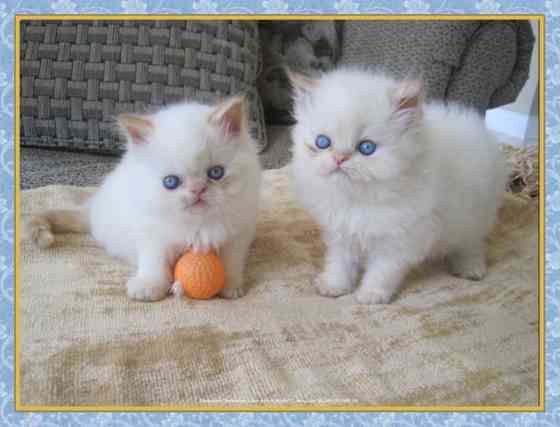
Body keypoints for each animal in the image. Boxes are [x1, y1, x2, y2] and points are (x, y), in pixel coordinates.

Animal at [25, 96, 260, 304]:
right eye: (171, 182)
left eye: (216, 173)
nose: (198, 190)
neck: (198, 225)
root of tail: (92, 208)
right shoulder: (152, 234)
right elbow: (154, 263)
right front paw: (148, 287)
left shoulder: (237, 234)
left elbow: (230, 262)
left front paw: (230, 286)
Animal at [286, 69, 510, 304]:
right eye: (322, 142)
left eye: (367, 147)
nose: (340, 158)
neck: (359, 201)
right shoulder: (341, 234)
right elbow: (340, 263)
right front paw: (334, 286)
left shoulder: (400, 240)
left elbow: (382, 270)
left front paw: (371, 294)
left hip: (473, 216)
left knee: (471, 244)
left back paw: (470, 268)